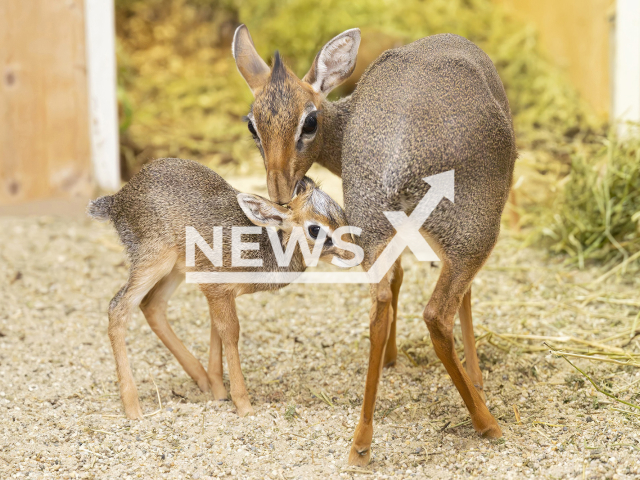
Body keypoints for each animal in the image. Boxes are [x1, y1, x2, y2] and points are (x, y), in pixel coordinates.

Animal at [88, 158, 354, 419]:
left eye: (342, 214)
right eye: (315, 229)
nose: (353, 254)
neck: (264, 253)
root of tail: (116, 200)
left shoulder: (217, 292)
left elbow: (217, 330)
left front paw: (219, 391)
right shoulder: (216, 288)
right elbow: (230, 332)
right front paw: (243, 404)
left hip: (174, 270)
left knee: (152, 305)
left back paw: (200, 379)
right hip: (152, 262)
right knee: (119, 307)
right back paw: (133, 408)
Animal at [232, 26, 516, 465]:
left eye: (309, 121)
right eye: (253, 126)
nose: (279, 192)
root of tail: (397, 159)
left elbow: (396, 278)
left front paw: (392, 359)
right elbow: (463, 298)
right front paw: (478, 376)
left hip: (374, 225)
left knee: (379, 304)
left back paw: (361, 443)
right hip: (475, 235)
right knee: (437, 314)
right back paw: (487, 423)